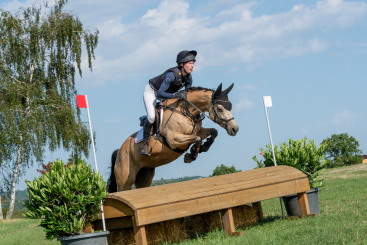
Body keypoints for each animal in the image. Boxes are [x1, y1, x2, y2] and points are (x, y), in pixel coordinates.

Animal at [106, 83, 239, 192]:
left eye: (231, 106)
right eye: (220, 109)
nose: (235, 129)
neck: (185, 111)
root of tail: (119, 151)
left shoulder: (197, 131)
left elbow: (213, 131)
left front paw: (203, 148)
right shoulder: (174, 140)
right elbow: (197, 139)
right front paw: (191, 155)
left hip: (144, 176)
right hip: (125, 180)